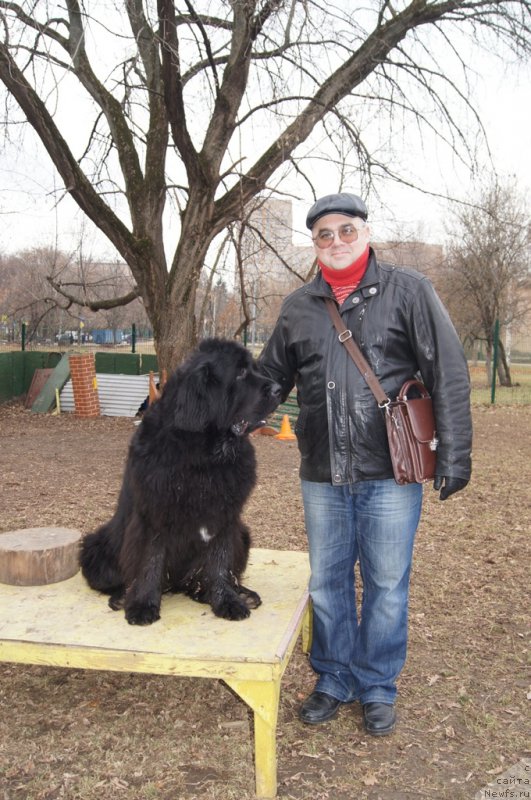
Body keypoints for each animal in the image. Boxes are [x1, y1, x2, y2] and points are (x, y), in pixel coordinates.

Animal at [79, 338, 282, 624]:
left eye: (254, 368)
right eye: (241, 373)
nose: (279, 389)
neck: (205, 454)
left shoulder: (225, 518)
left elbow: (220, 563)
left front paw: (227, 600)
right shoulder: (154, 514)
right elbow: (150, 560)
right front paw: (142, 604)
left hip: (243, 534)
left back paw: (238, 593)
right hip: (95, 546)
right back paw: (122, 596)